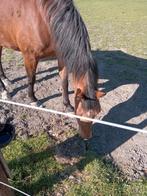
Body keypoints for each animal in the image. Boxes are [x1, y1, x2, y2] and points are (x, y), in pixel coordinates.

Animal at [0, 0, 105, 139]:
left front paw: (67, 105)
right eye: (80, 114)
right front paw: (33, 100)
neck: (43, 18)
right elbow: (31, 78)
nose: (86, 137)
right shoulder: (30, 56)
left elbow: (64, 82)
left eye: (96, 114)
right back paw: (4, 91)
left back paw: (5, 80)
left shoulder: (62, 56)